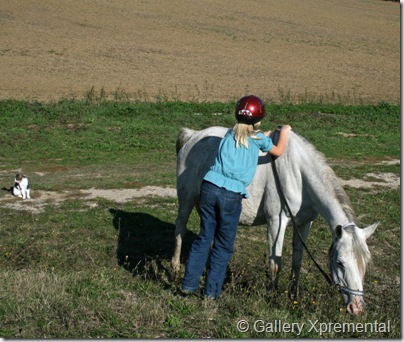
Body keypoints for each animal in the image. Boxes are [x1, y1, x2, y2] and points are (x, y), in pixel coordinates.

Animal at [173, 126, 378, 316]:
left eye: (366, 262)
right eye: (340, 262)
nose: (357, 308)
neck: (298, 174)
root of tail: (193, 135)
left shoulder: (304, 224)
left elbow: (297, 261)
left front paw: (293, 296)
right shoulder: (276, 222)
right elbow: (275, 264)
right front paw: (272, 298)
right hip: (186, 201)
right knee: (179, 231)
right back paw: (175, 272)